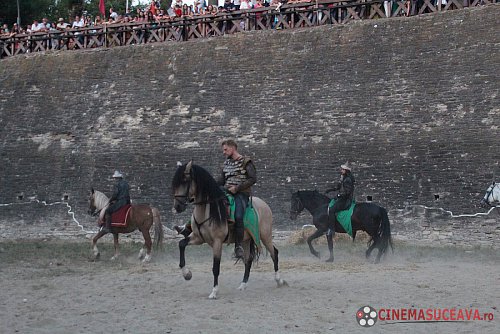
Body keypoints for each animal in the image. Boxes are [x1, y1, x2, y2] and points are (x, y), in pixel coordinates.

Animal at [172, 162, 288, 300]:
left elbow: (216, 267)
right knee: (248, 259)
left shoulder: (217, 242)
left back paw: (279, 280)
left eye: (185, 181)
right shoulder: (198, 238)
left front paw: (214, 292)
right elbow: (181, 244)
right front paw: (187, 274)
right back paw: (243, 285)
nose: (177, 206)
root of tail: (264, 205)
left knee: (274, 253)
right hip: (246, 239)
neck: (209, 210)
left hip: (265, 236)